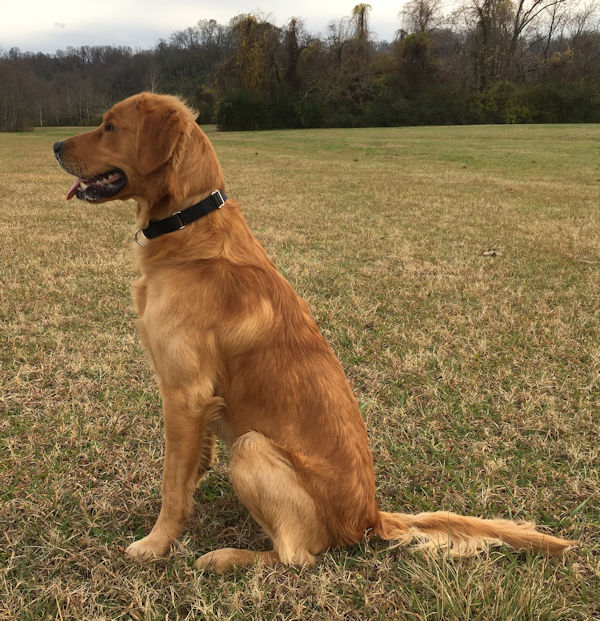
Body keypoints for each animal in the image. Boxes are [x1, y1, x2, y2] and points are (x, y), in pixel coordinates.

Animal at [54, 92, 576, 572]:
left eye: (109, 126)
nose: (56, 144)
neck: (188, 227)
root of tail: (369, 517)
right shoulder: (197, 404)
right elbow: (188, 473)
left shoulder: (184, 394)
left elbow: (171, 485)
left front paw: (156, 543)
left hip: (251, 447)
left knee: (296, 556)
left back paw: (227, 556)